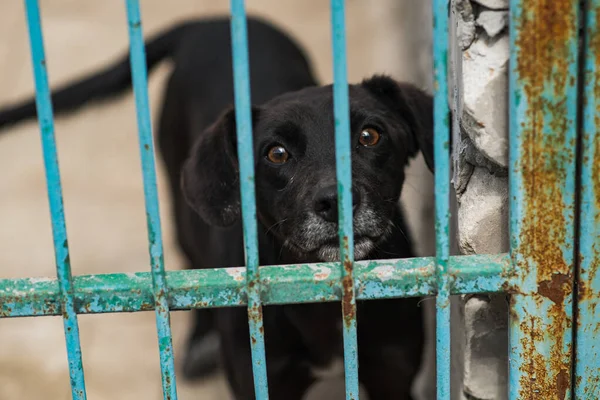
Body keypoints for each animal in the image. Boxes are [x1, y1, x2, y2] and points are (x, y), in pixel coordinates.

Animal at [0, 16, 432, 400]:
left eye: (370, 135)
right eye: (276, 153)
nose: (336, 201)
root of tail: (210, 20)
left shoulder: (392, 374)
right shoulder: (261, 379)